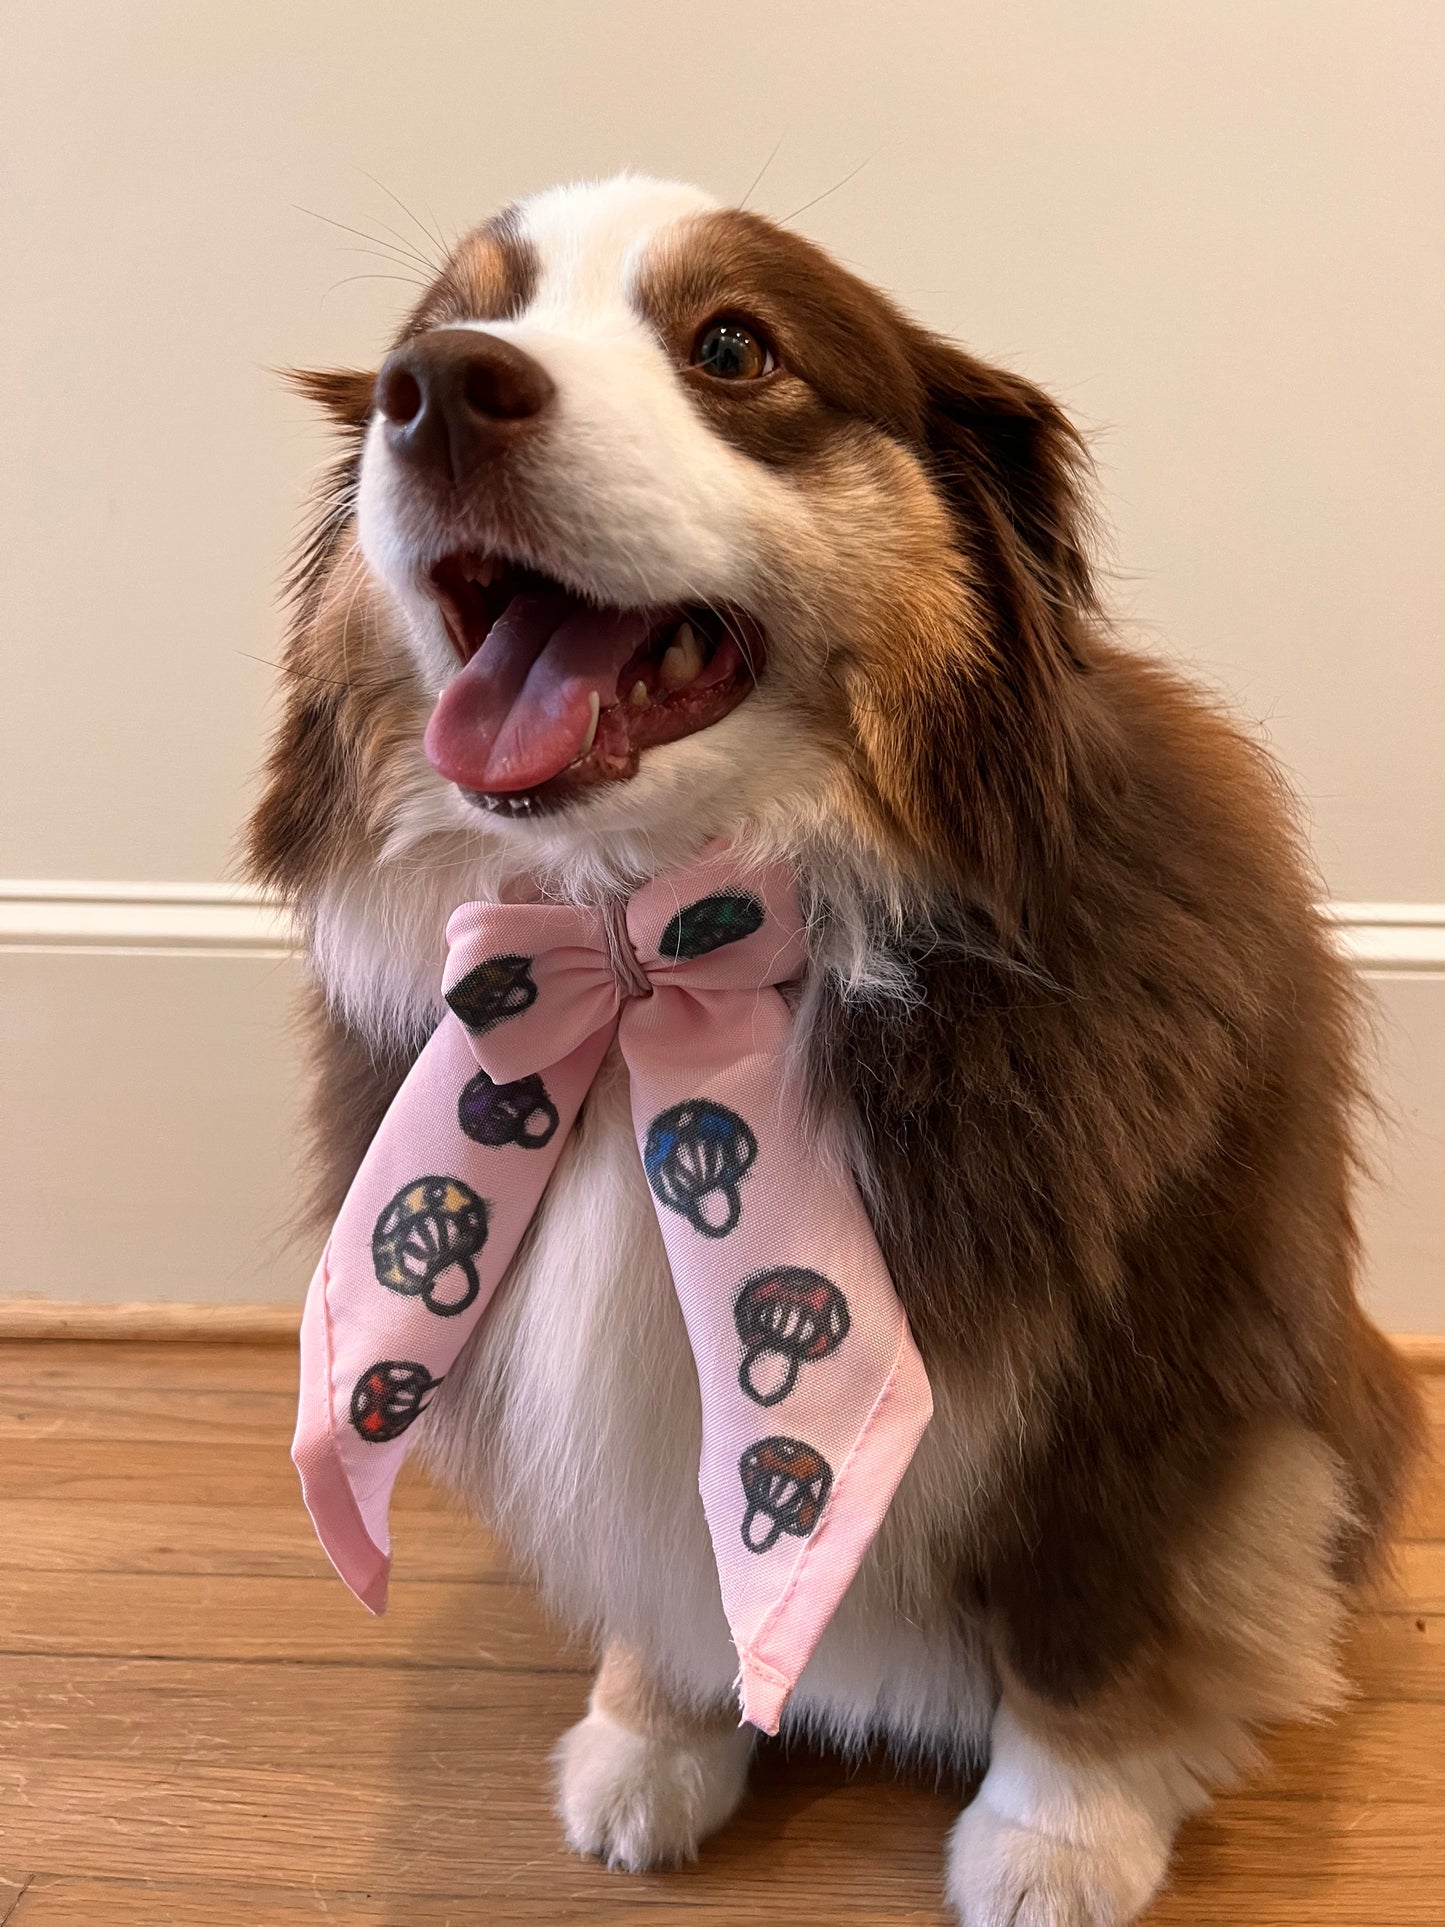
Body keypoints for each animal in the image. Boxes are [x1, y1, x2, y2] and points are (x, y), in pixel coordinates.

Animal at [246, 173, 1418, 1919]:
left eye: (734, 346)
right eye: (446, 327)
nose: (439, 390)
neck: (656, 944)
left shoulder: (1149, 1371)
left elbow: (1083, 1626)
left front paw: (1056, 1835)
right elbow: (668, 1547)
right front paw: (654, 1734)